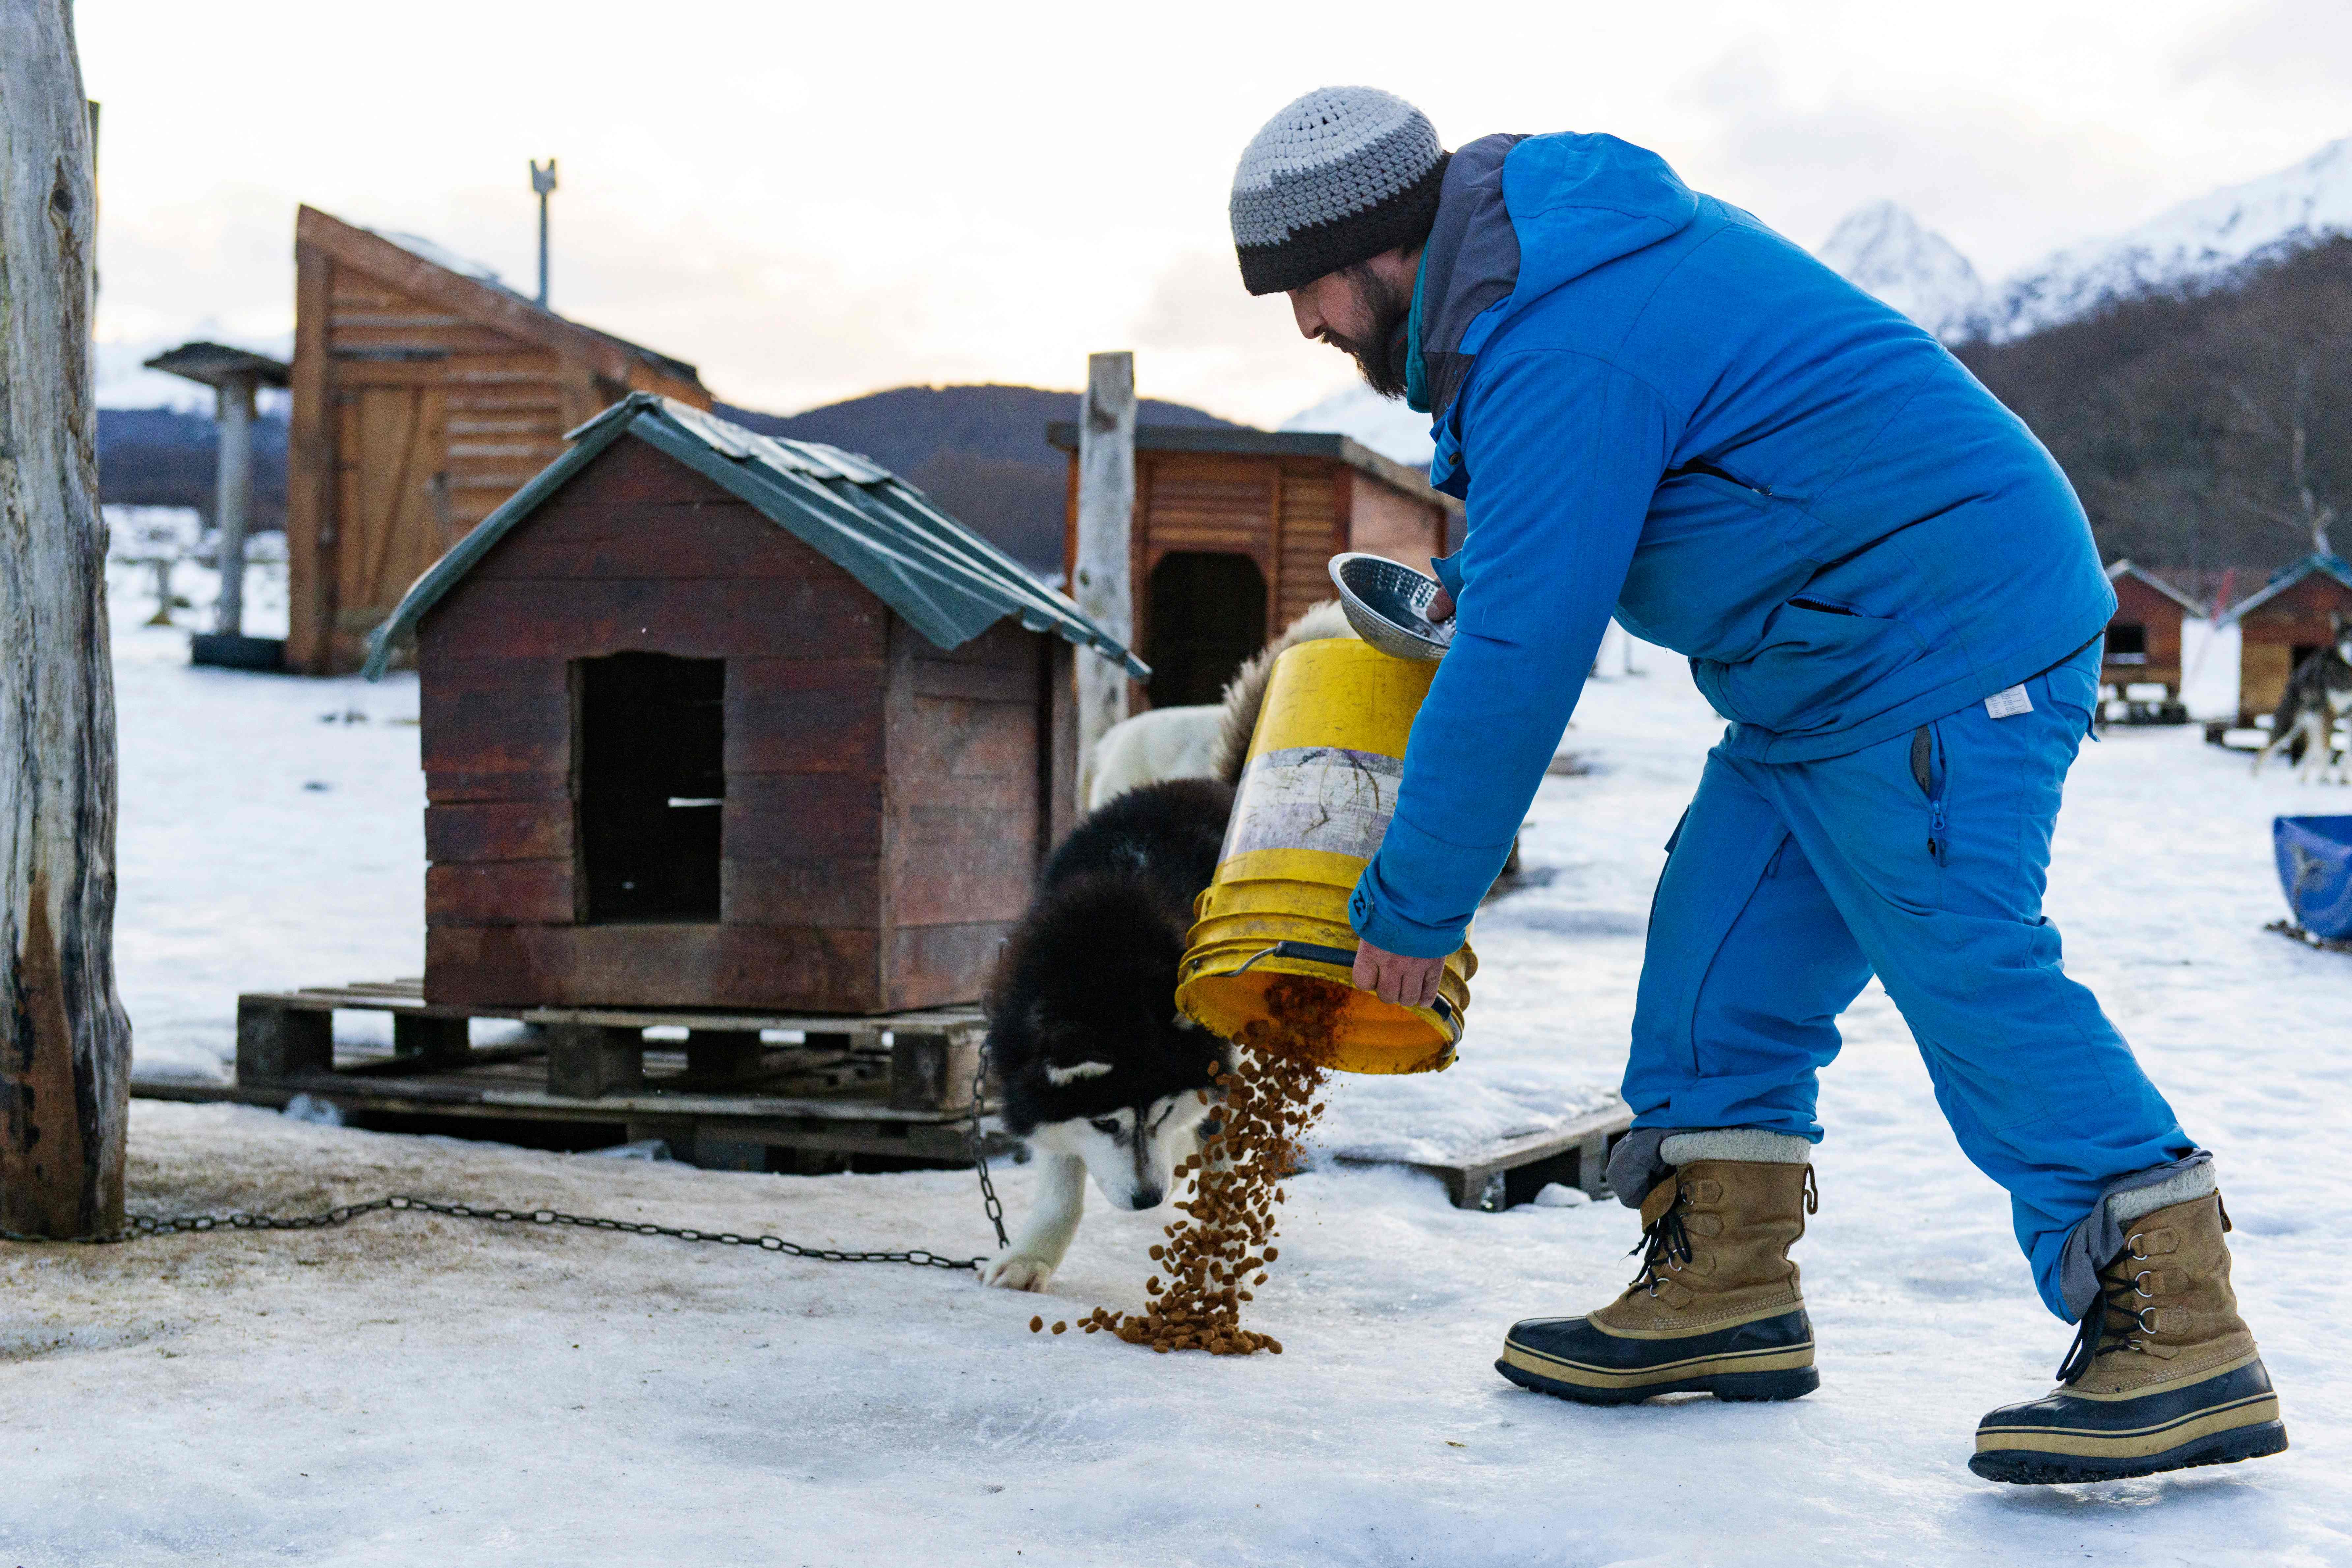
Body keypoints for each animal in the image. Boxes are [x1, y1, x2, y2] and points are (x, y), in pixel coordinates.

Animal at [973, 780, 1242, 1297]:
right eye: (1103, 1124)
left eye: (1162, 1112)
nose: (1148, 1198)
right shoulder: (1034, 1082)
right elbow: (1059, 1183)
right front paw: (1030, 1257)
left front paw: (1218, 1266)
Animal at [2239, 616, 2352, 780]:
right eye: (2349, 637)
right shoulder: (2328, 714)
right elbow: (2326, 750)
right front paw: (2325, 779)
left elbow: (2346, 751)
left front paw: (2343, 780)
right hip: (2289, 726)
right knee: (2264, 752)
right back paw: (2254, 778)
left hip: (2312, 724)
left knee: (2311, 752)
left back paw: (2304, 780)